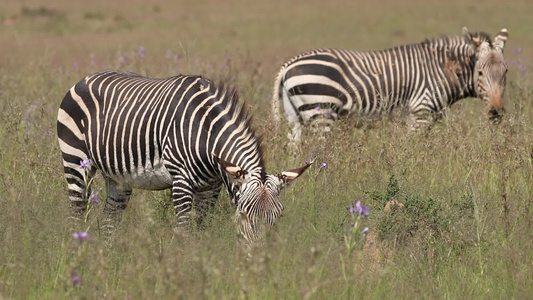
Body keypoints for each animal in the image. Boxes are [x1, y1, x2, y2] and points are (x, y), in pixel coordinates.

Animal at [56, 71, 310, 244]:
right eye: (245, 214)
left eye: (279, 216)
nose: (260, 258)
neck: (206, 132)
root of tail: (85, 79)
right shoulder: (181, 181)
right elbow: (184, 230)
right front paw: (185, 267)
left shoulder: (211, 187)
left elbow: (201, 229)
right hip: (76, 161)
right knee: (76, 213)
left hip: (118, 176)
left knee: (110, 219)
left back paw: (110, 260)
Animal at [272, 27, 510, 144]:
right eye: (480, 73)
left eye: (506, 72)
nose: (496, 112)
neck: (442, 70)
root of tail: (287, 65)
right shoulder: (420, 114)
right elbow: (412, 151)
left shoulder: (427, 118)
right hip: (322, 114)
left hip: (295, 118)